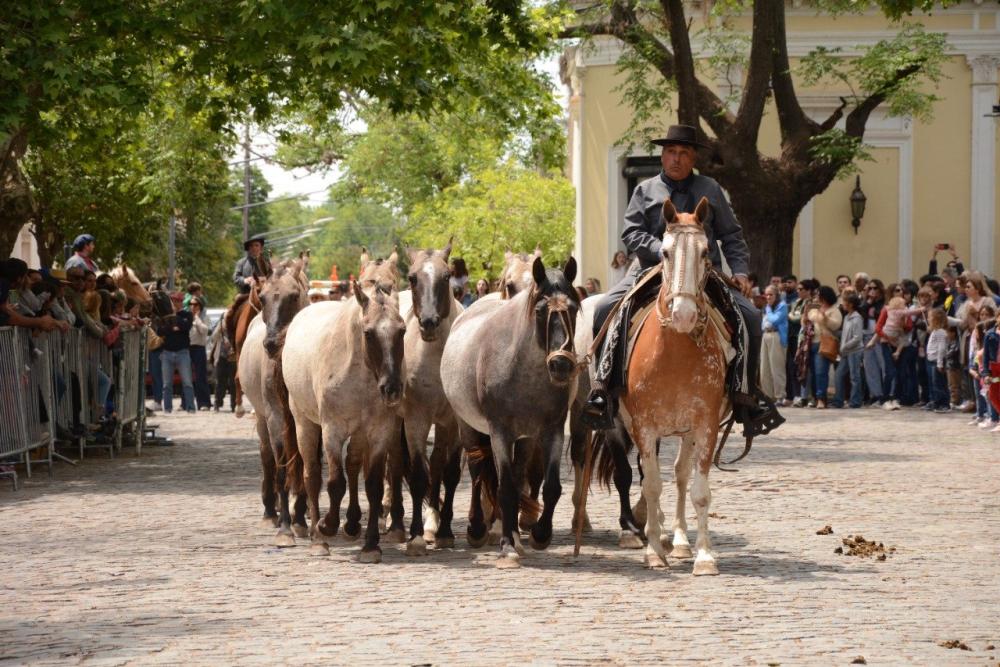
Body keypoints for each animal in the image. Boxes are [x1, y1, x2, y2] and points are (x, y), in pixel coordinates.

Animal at [282, 282, 406, 564]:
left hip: (359, 435)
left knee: (352, 466)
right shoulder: (333, 431)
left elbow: (372, 485)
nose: (392, 389)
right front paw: (327, 526)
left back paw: (350, 525)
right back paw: (318, 539)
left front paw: (370, 546)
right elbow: (335, 483)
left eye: (403, 330)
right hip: (305, 424)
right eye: (368, 333)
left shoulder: (379, 433)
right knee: (312, 475)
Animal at [444, 256, 584, 568]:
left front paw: (539, 535)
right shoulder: (500, 432)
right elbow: (504, 487)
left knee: (518, 476)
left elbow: (550, 486)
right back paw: (479, 529)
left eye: (572, 308)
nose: (561, 365)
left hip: (525, 440)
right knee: (478, 474)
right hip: (468, 428)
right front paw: (507, 545)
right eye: (541, 311)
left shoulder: (550, 431)